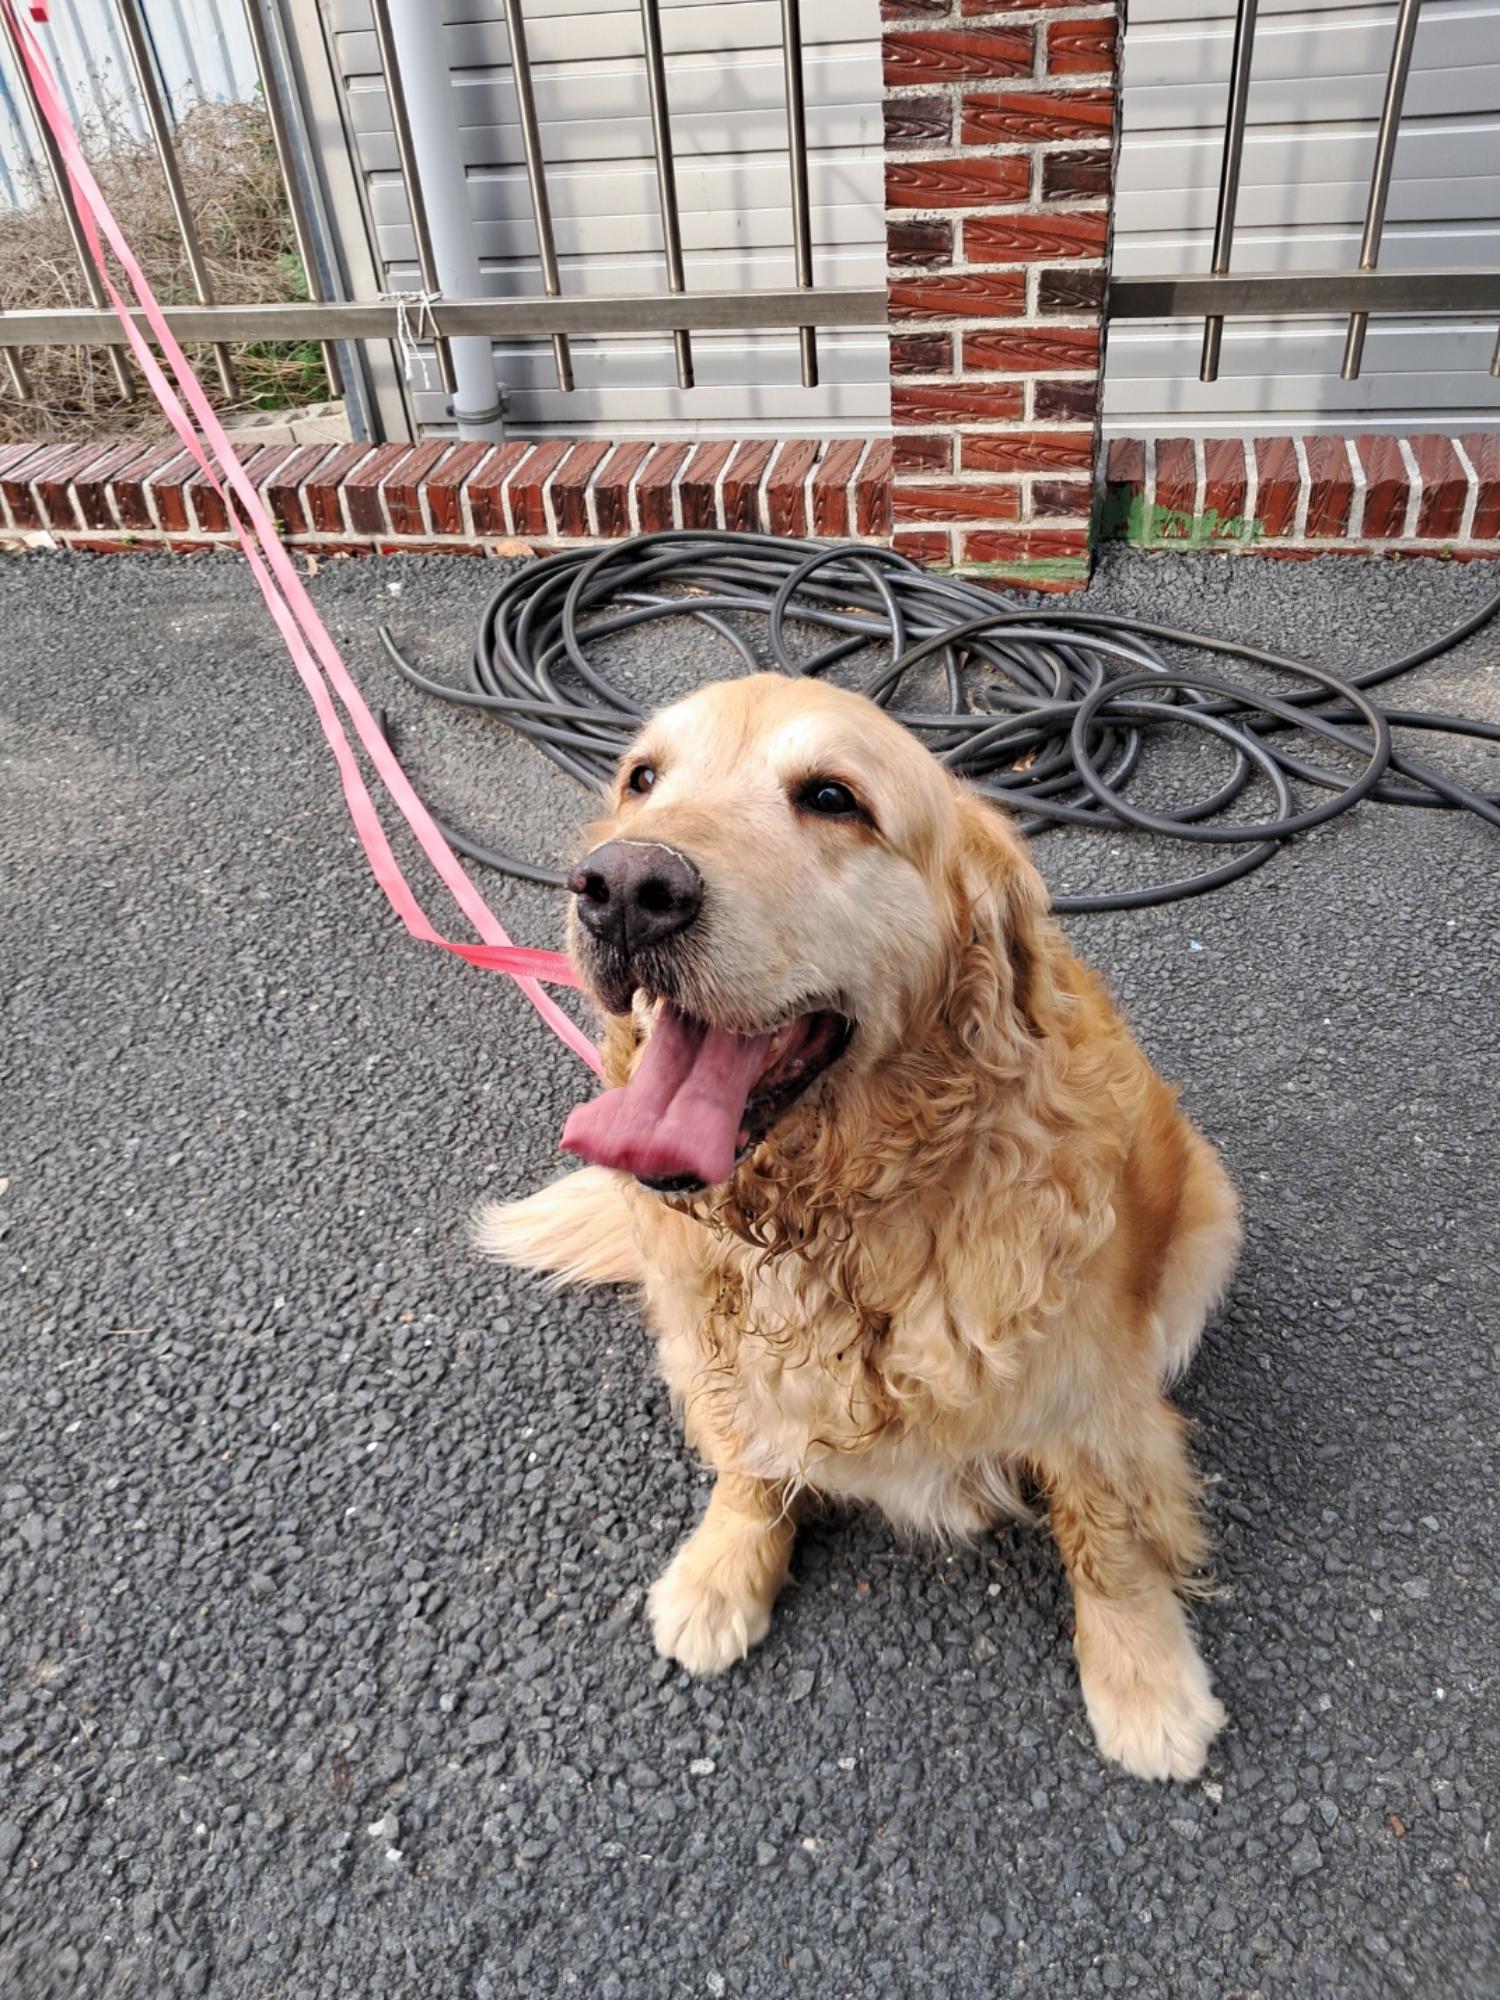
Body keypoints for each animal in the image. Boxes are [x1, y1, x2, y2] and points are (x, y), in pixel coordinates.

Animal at [484, 672, 1248, 1784]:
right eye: (641, 779)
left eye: (832, 798)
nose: (622, 886)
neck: (829, 1218)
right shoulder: (723, 1350)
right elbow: (749, 1464)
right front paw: (725, 1570)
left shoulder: (1090, 1399)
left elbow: (1109, 1541)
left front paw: (1143, 1679)